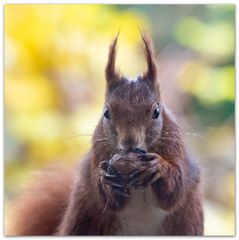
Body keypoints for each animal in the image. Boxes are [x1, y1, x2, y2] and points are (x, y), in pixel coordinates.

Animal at [8, 33, 204, 236]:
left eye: (156, 112)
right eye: (106, 112)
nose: (129, 141)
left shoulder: (175, 146)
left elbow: (175, 190)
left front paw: (157, 167)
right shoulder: (98, 151)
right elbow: (108, 199)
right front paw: (108, 177)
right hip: (84, 221)